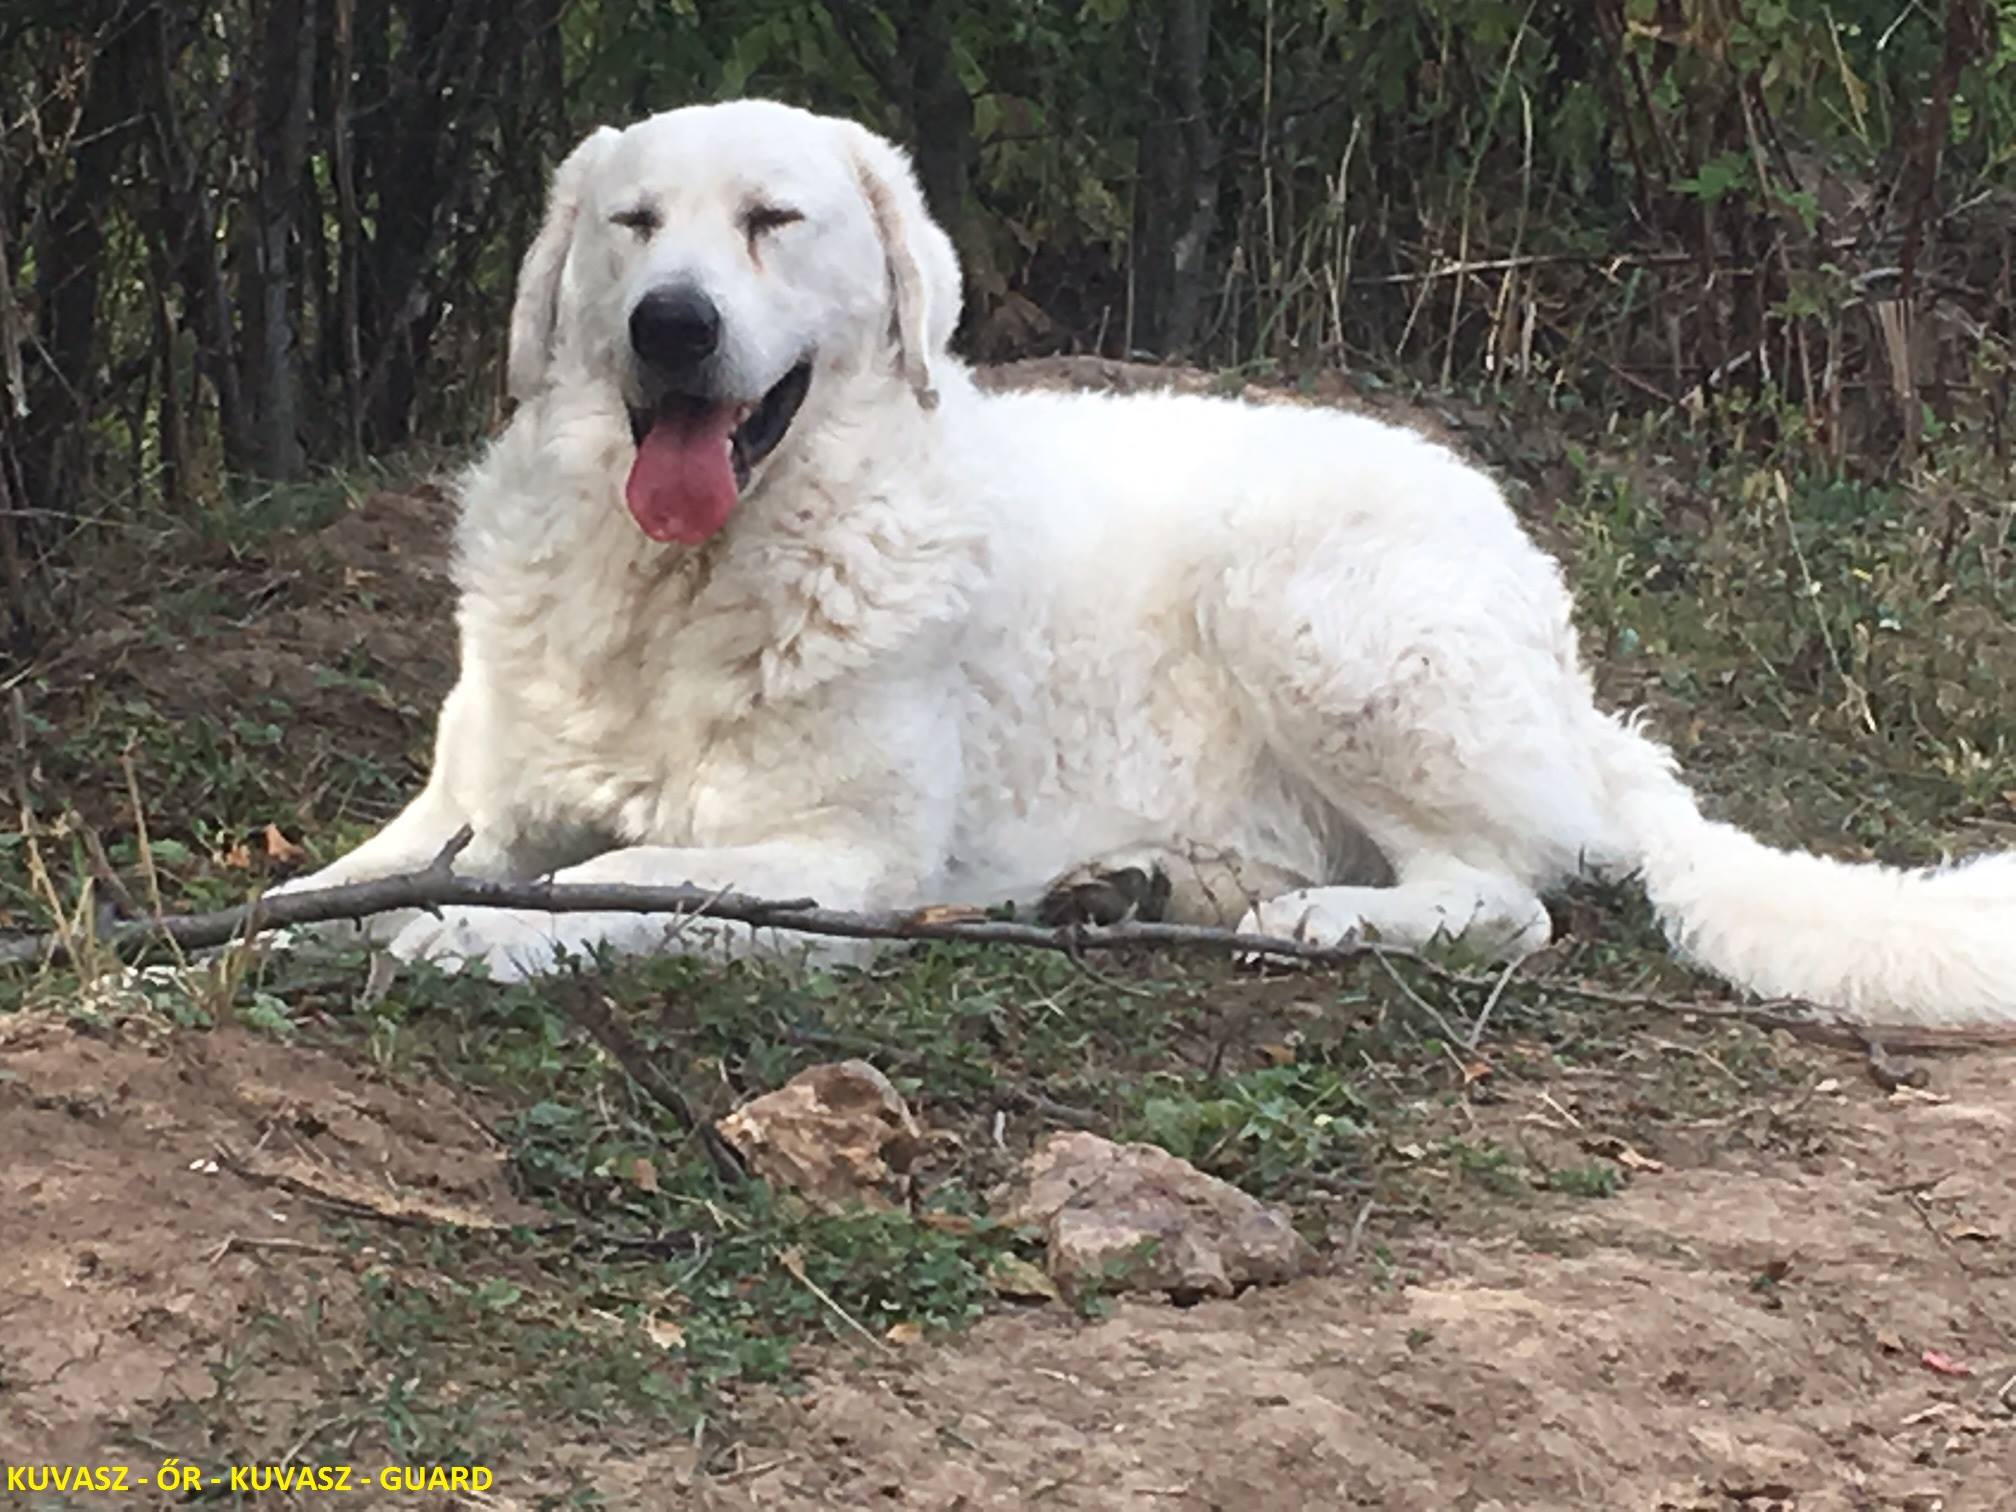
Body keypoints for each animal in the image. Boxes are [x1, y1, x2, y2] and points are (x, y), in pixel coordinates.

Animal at [288, 100, 2016, 1040]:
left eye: (774, 222)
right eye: (634, 226)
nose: (671, 326)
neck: (680, 584)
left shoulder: (839, 861)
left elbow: (607, 880)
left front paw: (471, 938)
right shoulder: (465, 802)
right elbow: (349, 877)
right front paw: (305, 921)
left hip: (1304, 609)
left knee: (1509, 896)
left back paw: (1323, 922)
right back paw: (1132, 887)